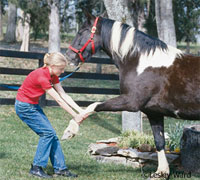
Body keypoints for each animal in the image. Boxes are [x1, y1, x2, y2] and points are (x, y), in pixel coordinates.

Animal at [66, 11, 200, 178]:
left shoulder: (130, 102)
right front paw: (161, 172)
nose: (69, 56)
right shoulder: (154, 112)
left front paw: (70, 130)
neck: (141, 62)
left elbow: (94, 105)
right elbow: (159, 141)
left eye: (82, 31)